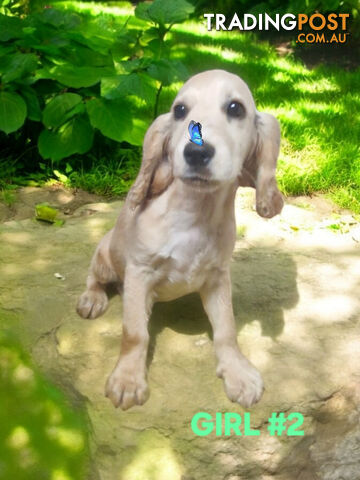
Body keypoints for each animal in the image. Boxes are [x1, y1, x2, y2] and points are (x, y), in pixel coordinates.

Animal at [76, 70, 284, 408]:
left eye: (236, 108)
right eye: (180, 111)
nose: (196, 151)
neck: (195, 215)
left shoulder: (218, 278)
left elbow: (226, 330)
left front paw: (238, 373)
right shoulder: (139, 272)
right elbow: (135, 333)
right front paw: (128, 379)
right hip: (105, 256)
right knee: (94, 278)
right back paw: (92, 299)